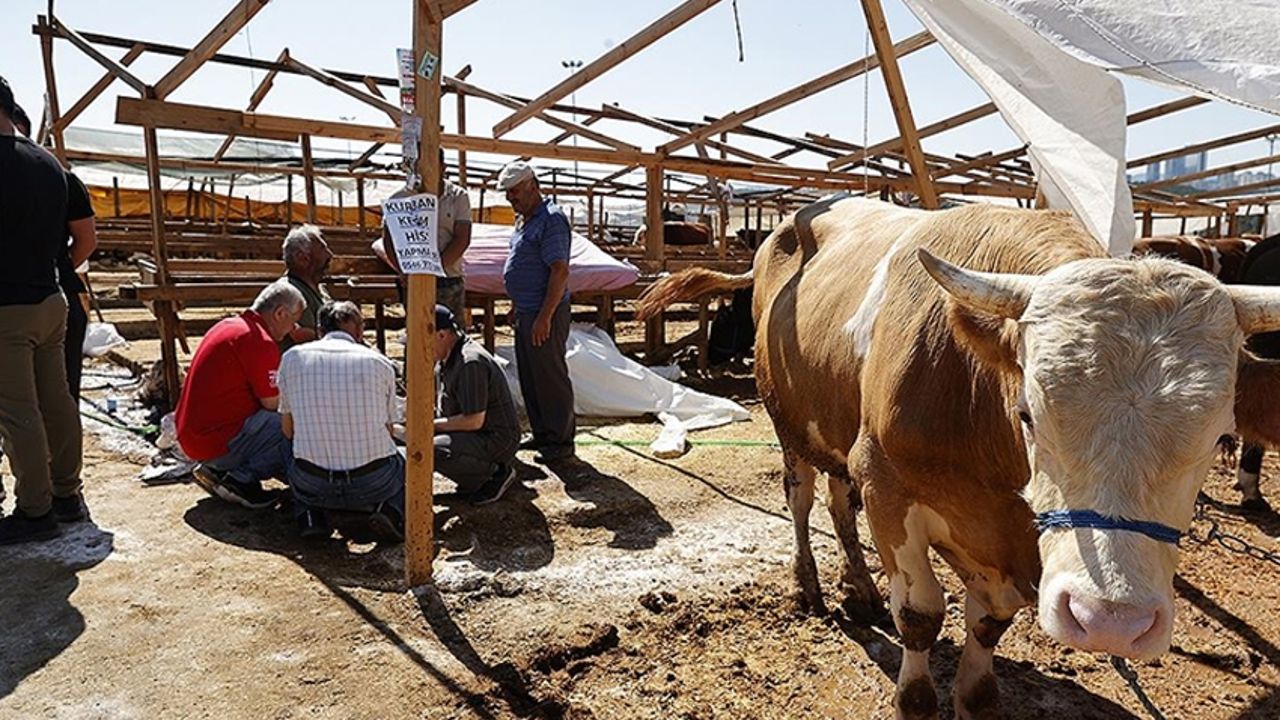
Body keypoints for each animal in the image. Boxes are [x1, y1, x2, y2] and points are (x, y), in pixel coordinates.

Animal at [640, 196, 1280, 717]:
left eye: (1218, 435)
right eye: (1028, 413)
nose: (1112, 623)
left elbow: (989, 624)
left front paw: (975, 695)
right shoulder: (888, 486)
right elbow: (921, 615)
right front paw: (916, 698)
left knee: (838, 500)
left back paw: (860, 586)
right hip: (790, 423)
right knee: (800, 499)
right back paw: (811, 585)